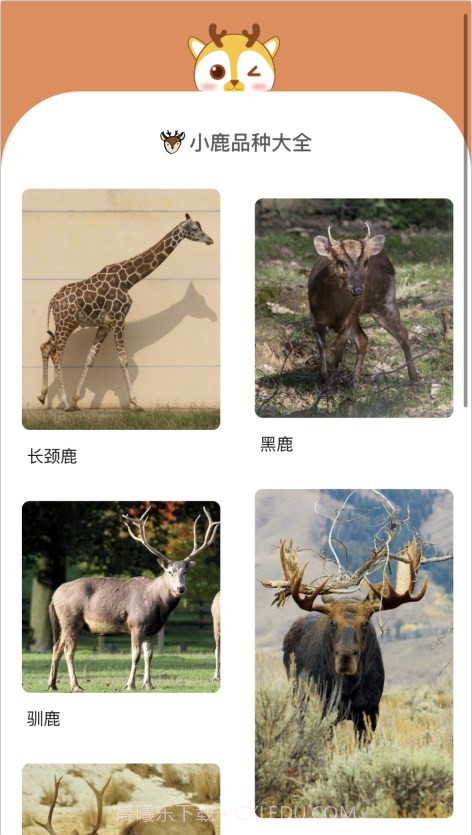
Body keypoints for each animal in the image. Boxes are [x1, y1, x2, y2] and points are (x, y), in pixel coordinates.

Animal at [47, 507, 220, 692]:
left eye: (185, 572)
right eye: (169, 572)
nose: (181, 588)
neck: (158, 607)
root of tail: (54, 595)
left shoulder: (152, 629)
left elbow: (149, 655)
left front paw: (148, 684)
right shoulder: (136, 624)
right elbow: (135, 655)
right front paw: (130, 684)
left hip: (65, 623)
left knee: (57, 647)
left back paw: (52, 684)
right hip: (72, 620)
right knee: (68, 650)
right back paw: (75, 685)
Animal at [308, 223, 419, 385]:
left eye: (366, 262)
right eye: (340, 261)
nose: (358, 289)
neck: (333, 311)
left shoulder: (347, 321)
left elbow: (338, 350)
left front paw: (330, 385)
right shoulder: (316, 317)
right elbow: (321, 346)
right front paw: (322, 377)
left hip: (385, 301)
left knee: (403, 334)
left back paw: (414, 378)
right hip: (359, 313)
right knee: (363, 339)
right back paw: (355, 382)